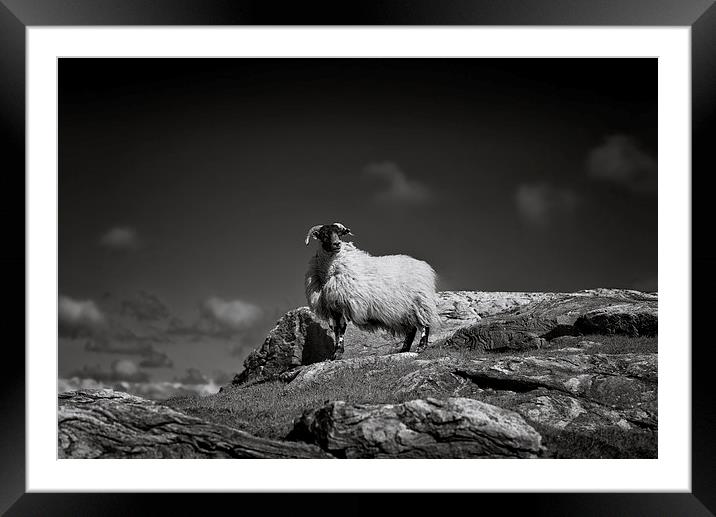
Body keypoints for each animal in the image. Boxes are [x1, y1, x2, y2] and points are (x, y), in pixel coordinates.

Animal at [304, 222, 440, 358]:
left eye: (339, 234)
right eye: (324, 234)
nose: (337, 244)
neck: (329, 273)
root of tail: (424, 266)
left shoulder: (341, 303)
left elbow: (341, 328)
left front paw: (338, 352)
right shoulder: (333, 307)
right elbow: (337, 329)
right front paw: (336, 352)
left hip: (420, 301)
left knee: (424, 325)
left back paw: (421, 347)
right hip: (405, 310)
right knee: (411, 330)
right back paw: (404, 349)